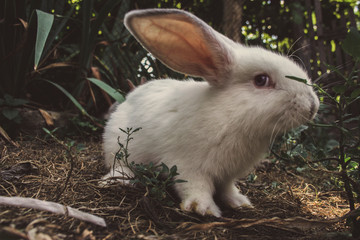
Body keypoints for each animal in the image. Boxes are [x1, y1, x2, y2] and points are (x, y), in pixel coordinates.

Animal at [102, 8, 320, 218]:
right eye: (261, 80)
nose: (312, 106)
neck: (229, 114)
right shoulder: (187, 166)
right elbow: (196, 187)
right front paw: (203, 208)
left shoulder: (227, 175)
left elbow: (227, 189)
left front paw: (239, 202)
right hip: (118, 146)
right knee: (119, 163)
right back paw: (117, 179)